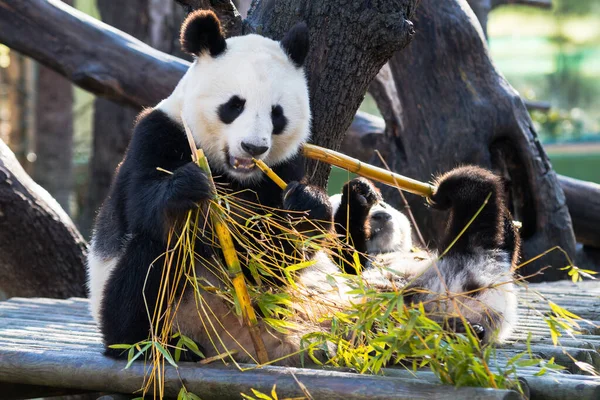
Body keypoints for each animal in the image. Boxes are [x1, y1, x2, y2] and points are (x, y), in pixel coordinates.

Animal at [330, 167, 516, 342]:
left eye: (383, 205)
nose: (380, 216)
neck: (384, 250)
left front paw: (363, 190)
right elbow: (347, 253)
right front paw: (357, 198)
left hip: (470, 250)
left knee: (477, 204)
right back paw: (459, 329)